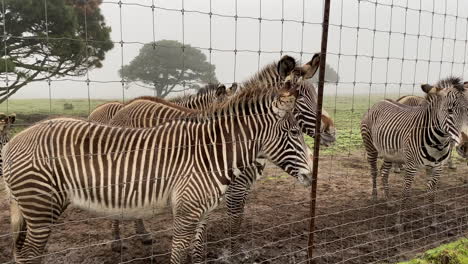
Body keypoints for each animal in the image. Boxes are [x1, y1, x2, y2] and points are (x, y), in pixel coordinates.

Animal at [4, 80, 314, 264]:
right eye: (294, 132)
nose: (311, 176)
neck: (210, 154)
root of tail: (12, 141)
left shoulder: (201, 212)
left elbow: (197, 254)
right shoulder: (186, 211)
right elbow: (178, 255)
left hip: (41, 207)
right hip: (40, 206)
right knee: (29, 255)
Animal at [107, 53, 334, 254]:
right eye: (300, 97)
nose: (331, 131)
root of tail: (126, 106)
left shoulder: (240, 187)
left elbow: (234, 223)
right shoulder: (234, 188)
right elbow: (234, 224)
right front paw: (231, 254)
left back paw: (143, 235)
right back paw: (117, 242)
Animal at [362, 77, 468, 226]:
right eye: (450, 110)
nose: (464, 145)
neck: (438, 143)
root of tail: (381, 101)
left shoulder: (437, 167)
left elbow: (432, 192)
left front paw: (432, 219)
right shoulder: (411, 166)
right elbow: (406, 192)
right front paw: (399, 223)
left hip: (390, 153)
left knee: (384, 172)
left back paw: (389, 201)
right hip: (370, 146)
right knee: (374, 171)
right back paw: (374, 196)